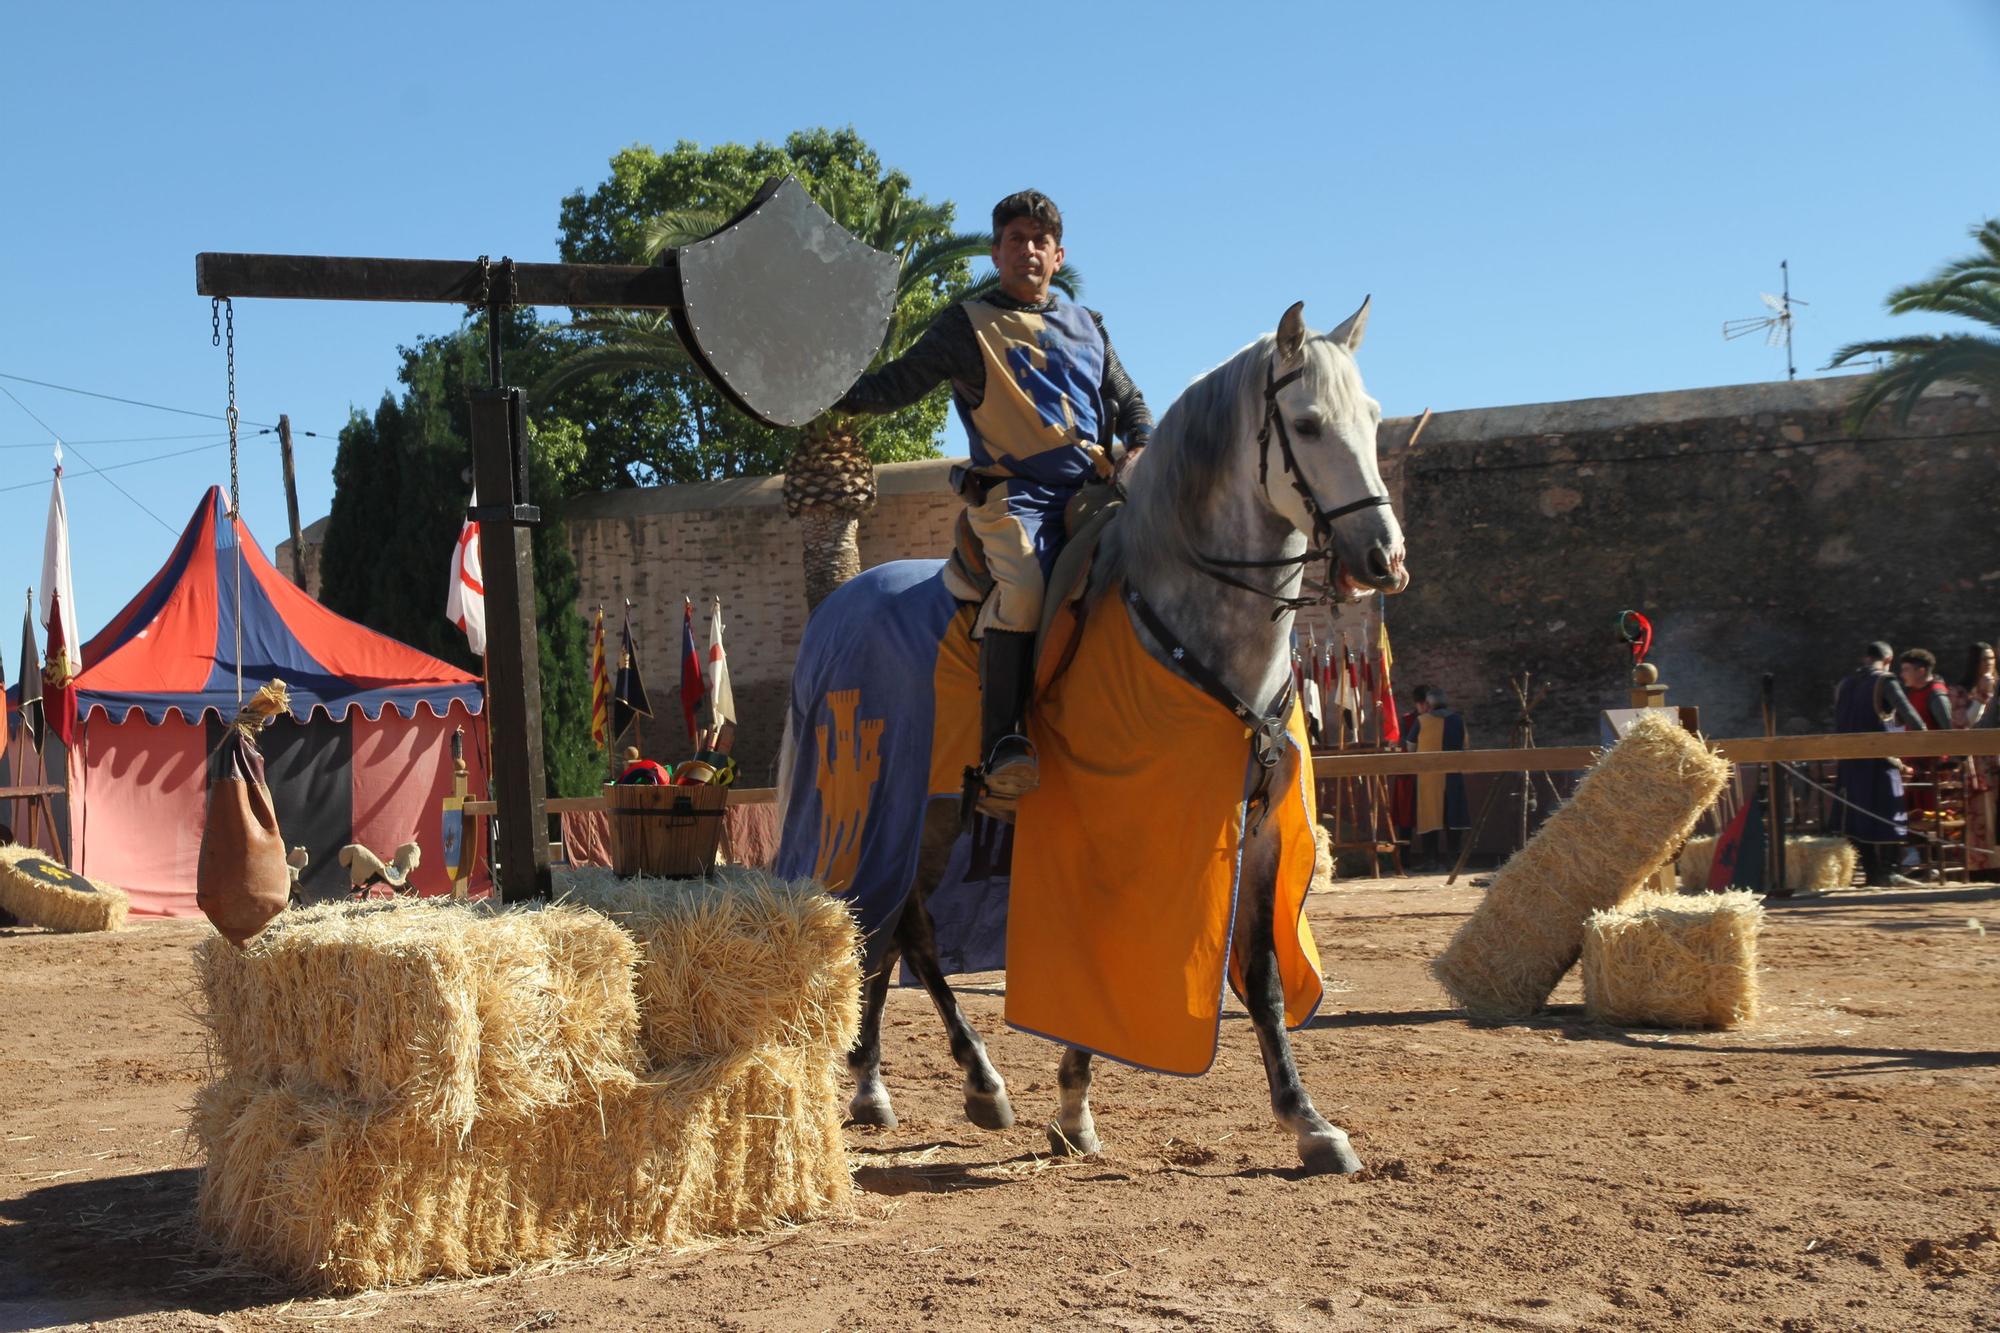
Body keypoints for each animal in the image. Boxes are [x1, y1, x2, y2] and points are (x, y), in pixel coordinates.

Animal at [772, 296, 1400, 1168]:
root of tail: (841, 604)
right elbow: (1097, 973)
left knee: (903, 928)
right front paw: (1072, 1105)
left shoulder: (1262, 829)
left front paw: (1308, 1120)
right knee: (899, 925)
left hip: (930, 815)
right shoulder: (1115, 828)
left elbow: (1264, 975)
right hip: (899, 809)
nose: (1382, 558)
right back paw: (950, 1081)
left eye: (1372, 419)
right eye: (1306, 424)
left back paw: (897, 1084)